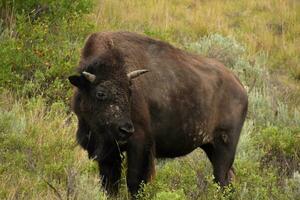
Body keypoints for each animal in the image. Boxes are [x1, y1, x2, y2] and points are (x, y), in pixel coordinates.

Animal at [68, 31, 248, 197]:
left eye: (130, 92)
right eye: (100, 93)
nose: (125, 129)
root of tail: (240, 87)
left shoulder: (140, 144)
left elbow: (135, 182)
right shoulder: (108, 152)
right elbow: (110, 185)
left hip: (224, 148)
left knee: (221, 179)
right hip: (210, 147)